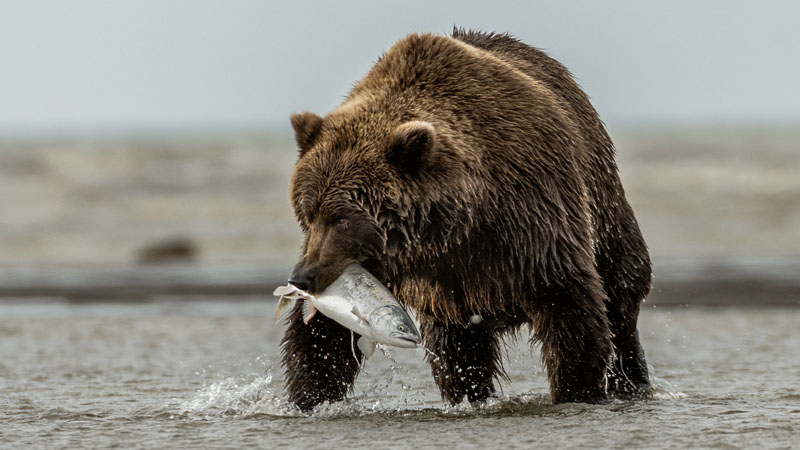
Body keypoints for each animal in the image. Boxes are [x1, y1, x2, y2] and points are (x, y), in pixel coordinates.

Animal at [281, 28, 652, 412]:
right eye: (307, 212)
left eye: (341, 217)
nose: (302, 277)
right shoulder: (403, 268)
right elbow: (325, 335)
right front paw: (308, 397)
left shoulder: (533, 222)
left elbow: (571, 310)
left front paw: (577, 391)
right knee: (458, 350)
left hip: (603, 202)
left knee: (621, 294)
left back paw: (632, 382)